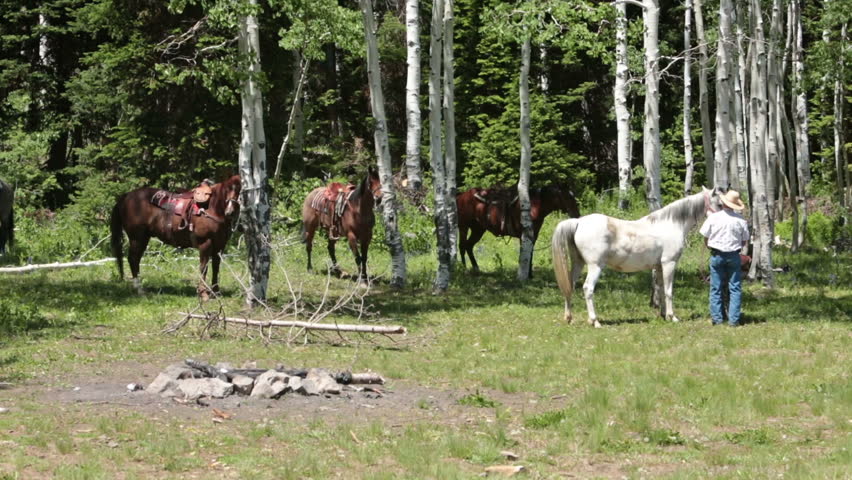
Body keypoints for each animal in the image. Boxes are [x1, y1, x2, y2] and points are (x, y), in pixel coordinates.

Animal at [110, 175, 241, 298]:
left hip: (143, 238)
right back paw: (139, 290)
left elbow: (216, 267)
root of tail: (126, 196)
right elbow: (204, 267)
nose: (230, 212)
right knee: (133, 259)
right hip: (137, 238)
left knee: (136, 259)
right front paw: (203, 294)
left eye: (239, 190)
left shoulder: (220, 245)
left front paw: (216, 292)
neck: (212, 208)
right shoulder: (205, 243)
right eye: (227, 190)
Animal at [551, 187, 724, 327]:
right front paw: (672, 317)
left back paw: (569, 318)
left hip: (578, 263)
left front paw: (664, 315)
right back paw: (595, 321)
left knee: (570, 285)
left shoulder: (659, 267)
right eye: (720, 205)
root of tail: (578, 222)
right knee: (588, 288)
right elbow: (669, 291)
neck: (672, 224)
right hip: (595, 266)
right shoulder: (669, 263)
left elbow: (661, 290)